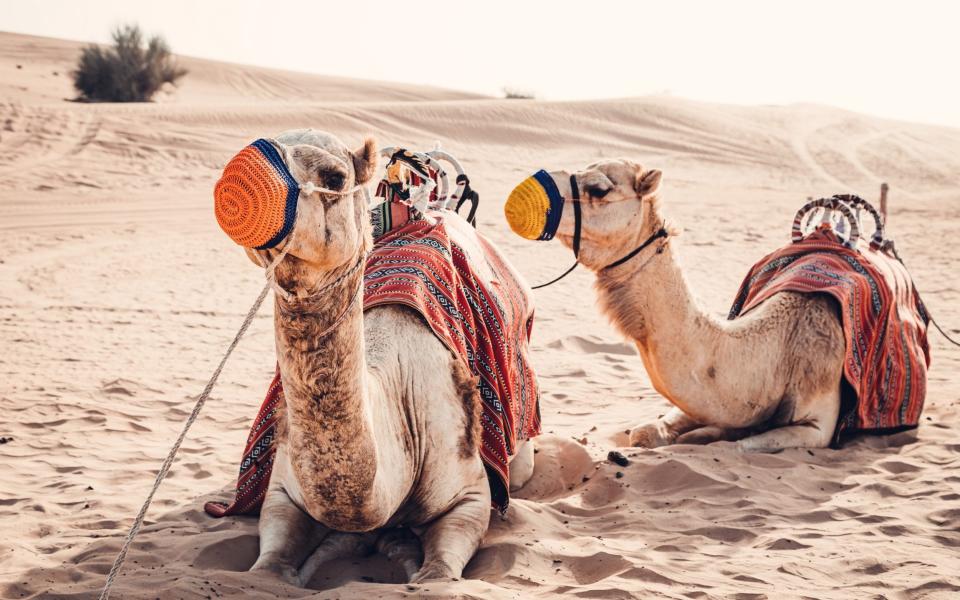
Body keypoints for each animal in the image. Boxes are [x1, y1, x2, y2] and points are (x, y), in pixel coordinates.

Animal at [229, 129, 536, 584]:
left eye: (335, 177)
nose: (244, 170)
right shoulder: (284, 491)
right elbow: (267, 568)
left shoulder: (469, 495)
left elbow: (437, 574)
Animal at [502, 159, 848, 450]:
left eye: (599, 188)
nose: (522, 193)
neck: (778, 351)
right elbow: (646, 432)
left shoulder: (819, 424)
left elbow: (739, 445)